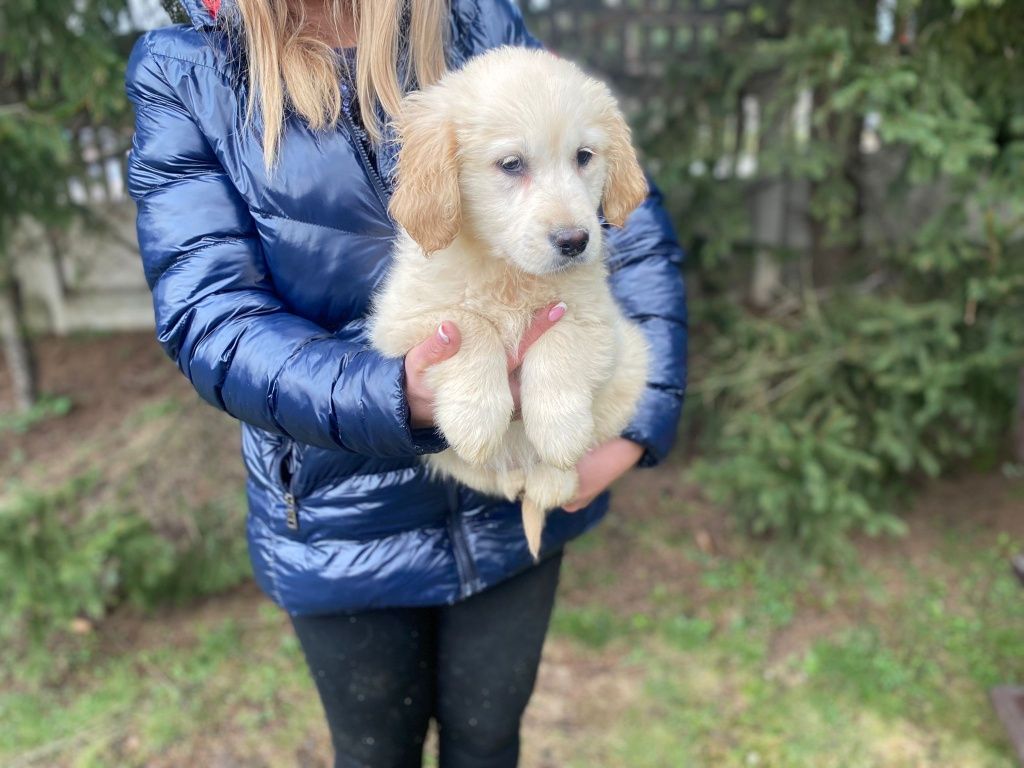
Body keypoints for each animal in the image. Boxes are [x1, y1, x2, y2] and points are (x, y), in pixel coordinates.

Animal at [372, 45, 651, 561]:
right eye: (511, 164)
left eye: (584, 157)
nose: (575, 241)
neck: (510, 274)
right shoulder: (398, 322)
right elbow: (469, 322)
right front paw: (476, 418)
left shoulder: (599, 321)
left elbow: (561, 337)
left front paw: (560, 432)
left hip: (633, 366)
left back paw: (551, 477)